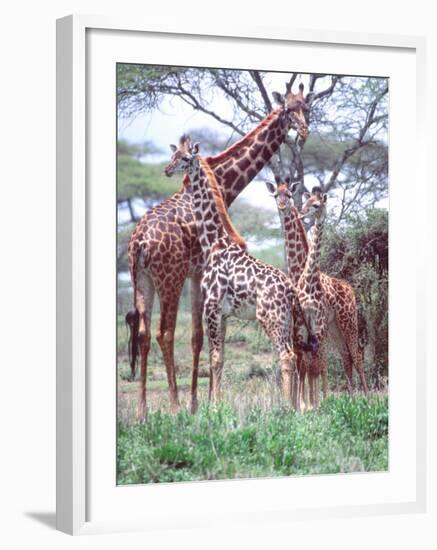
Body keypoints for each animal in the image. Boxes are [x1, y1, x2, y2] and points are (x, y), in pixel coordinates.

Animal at [164, 138, 300, 410]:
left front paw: (215, 406)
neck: (214, 242)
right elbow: (221, 358)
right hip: (286, 319)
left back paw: (286, 407)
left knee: (286, 355)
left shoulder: (212, 306)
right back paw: (296, 405)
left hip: (269, 316)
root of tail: (289, 289)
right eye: (173, 155)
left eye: (185, 158)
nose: (167, 170)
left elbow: (215, 358)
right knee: (294, 355)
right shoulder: (224, 313)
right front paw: (216, 403)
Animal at [292, 190, 368, 410]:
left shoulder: (319, 327)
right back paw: (351, 400)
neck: (309, 281)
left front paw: (319, 405)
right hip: (336, 330)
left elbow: (318, 366)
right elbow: (304, 366)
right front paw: (301, 407)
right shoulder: (302, 327)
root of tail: (350, 289)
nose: (301, 214)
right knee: (346, 357)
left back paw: (367, 400)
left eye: (316, 205)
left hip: (348, 322)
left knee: (357, 357)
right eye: (306, 201)